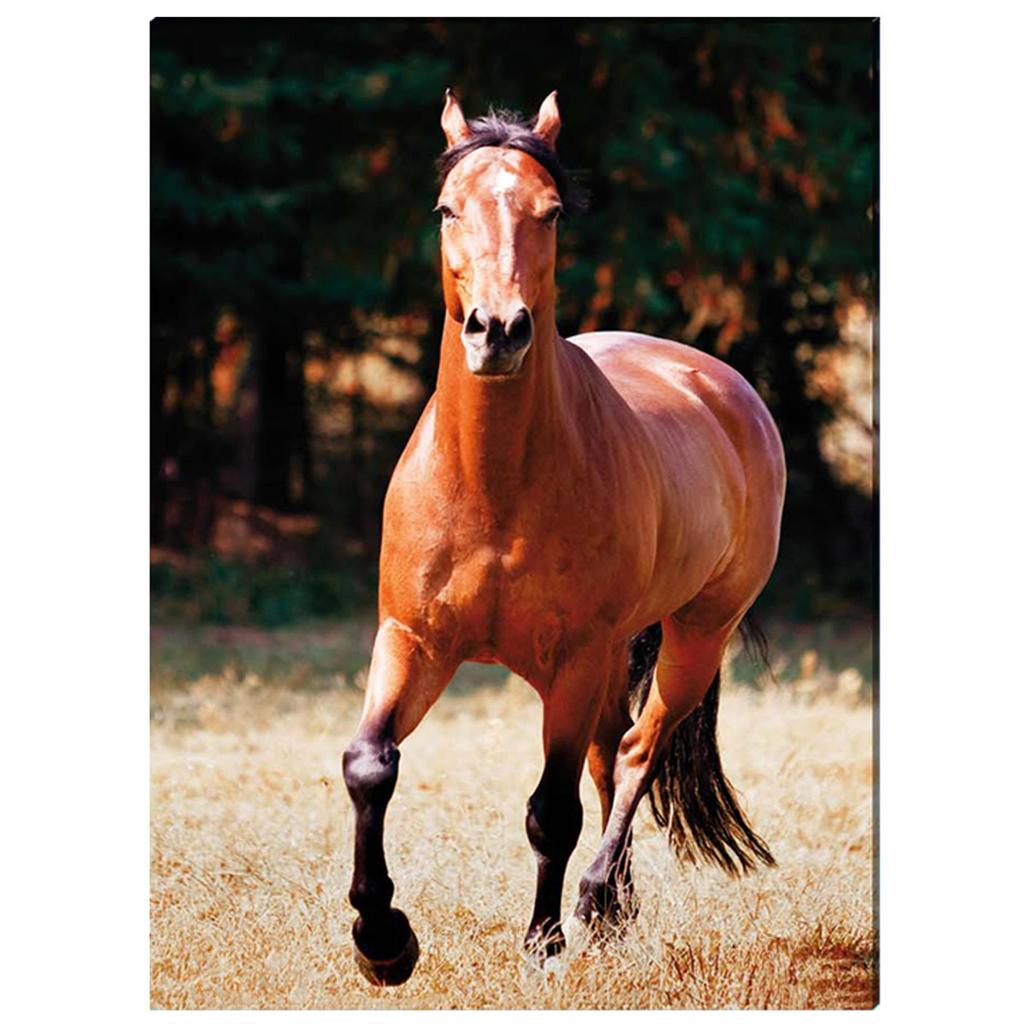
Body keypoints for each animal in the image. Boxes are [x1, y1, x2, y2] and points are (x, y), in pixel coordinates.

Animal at [342, 90, 786, 986]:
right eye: (447, 208)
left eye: (548, 212)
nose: (498, 331)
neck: (493, 484)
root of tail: (723, 385)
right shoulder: (412, 640)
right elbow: (370, 765)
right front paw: (384, 940)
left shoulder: (575, 660)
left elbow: (552, 810)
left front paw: (542, 942)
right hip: (612, 658)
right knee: (611, 753)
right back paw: (616, 907)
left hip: (693, 635)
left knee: (638, 753)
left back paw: (593, 899)